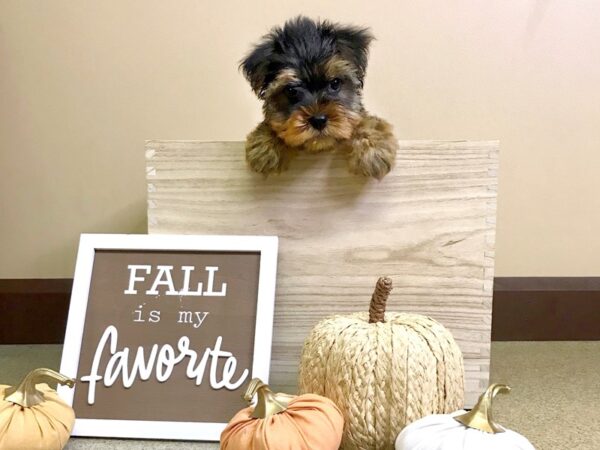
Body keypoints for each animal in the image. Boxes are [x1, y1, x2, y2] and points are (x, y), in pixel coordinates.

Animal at [239, 17, 398, 179]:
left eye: (335, 83)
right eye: (291, 90)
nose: (318, 120)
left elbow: (366, 121)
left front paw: (373, 150)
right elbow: (273, 124)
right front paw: (266, 145)